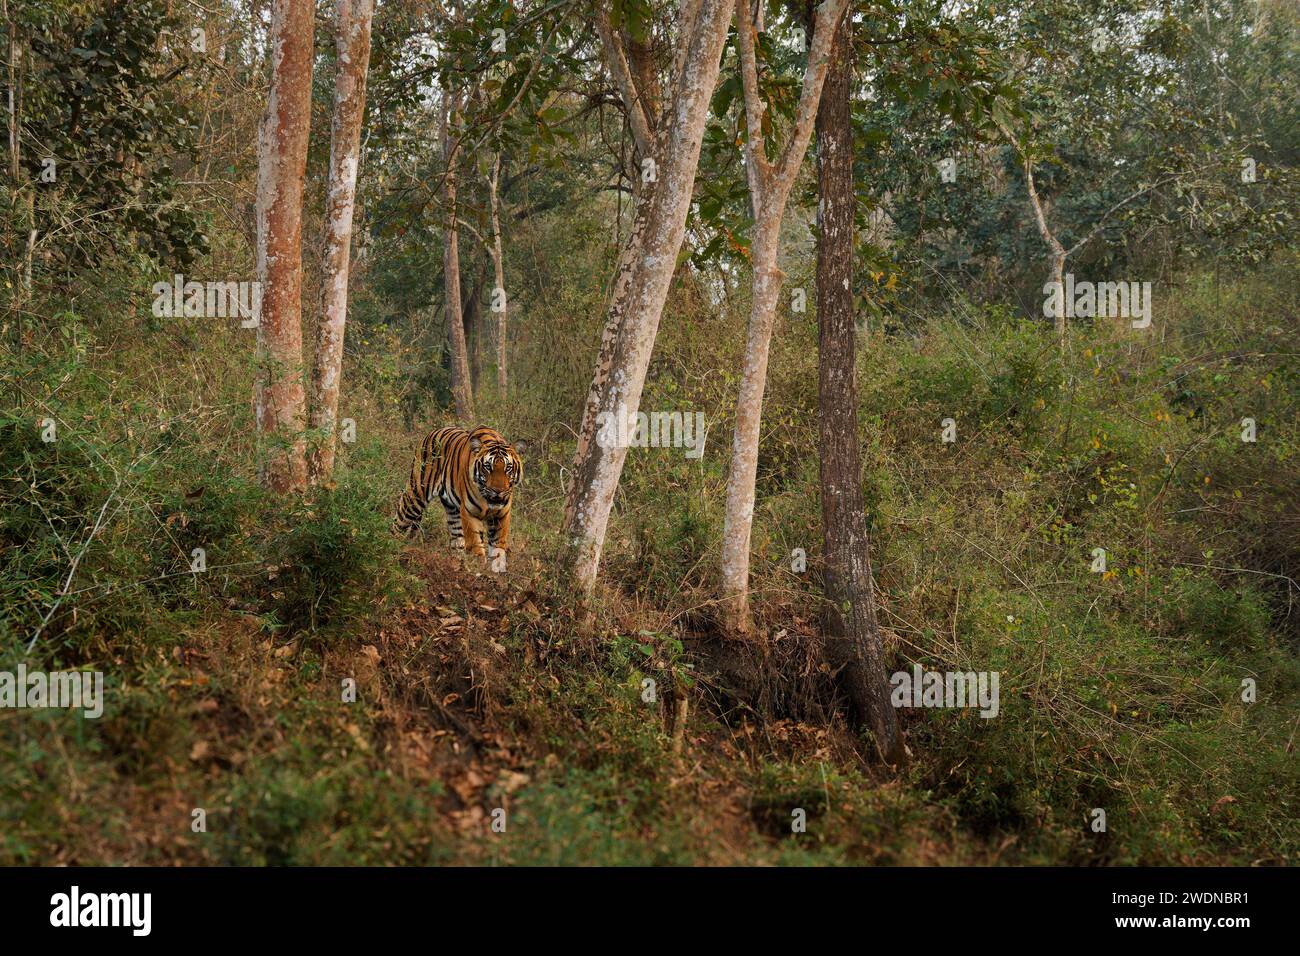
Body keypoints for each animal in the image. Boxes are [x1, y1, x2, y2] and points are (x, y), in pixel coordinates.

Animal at [394, 425, 523, 570]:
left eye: (508, 468)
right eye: (487, 467)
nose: (498, 491)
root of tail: (432, 432)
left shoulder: (501, 515)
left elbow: (498, 547)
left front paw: (496, 569)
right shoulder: (469, 513)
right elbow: (476, 544)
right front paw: (479, 568)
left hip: (452, 510)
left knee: (456, 540)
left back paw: (457, 566)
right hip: (415, 496)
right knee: (399, 522)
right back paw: (392, 547)